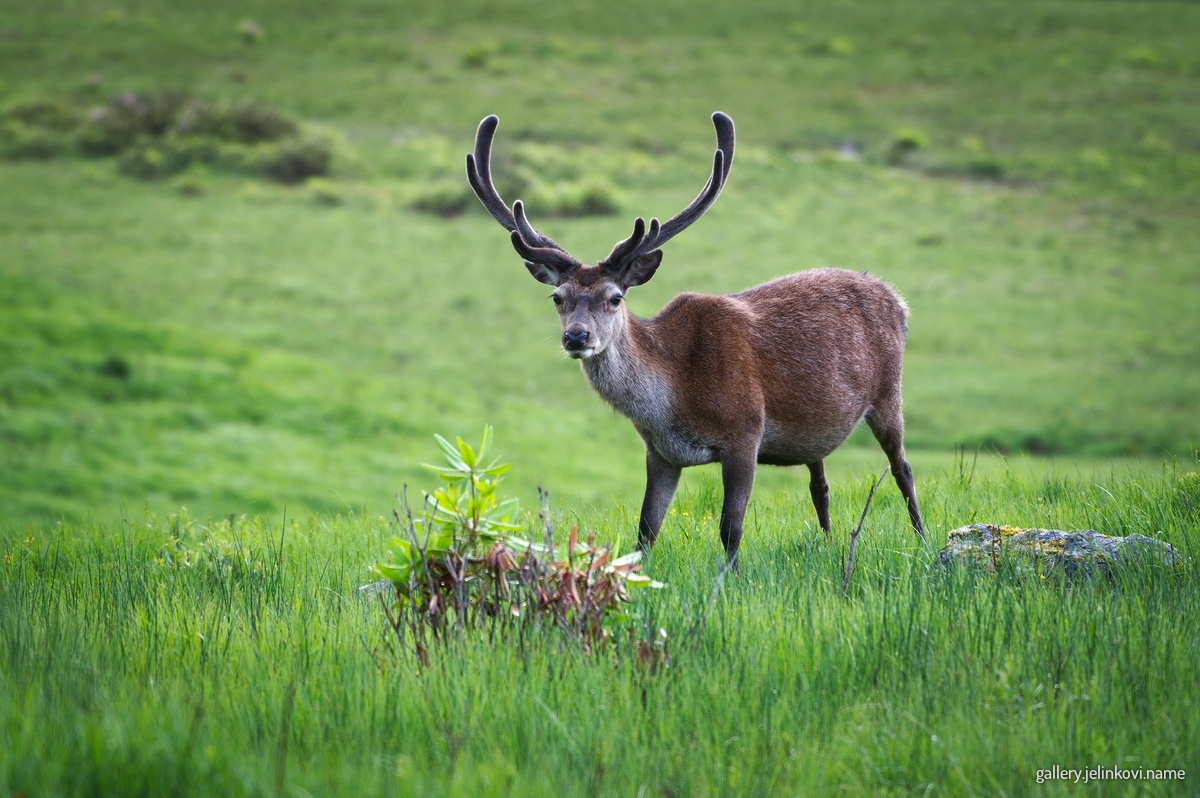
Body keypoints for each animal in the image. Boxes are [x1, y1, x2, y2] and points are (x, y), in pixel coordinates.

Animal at [465, 111, 924, 566]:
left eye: (615, 298)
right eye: (557, 297)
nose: (576, 337)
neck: (676, 395)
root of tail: (898, 299)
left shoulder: (744, 433)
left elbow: (730, 528)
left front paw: (730, 579)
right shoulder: (660, 452)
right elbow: (645, 529)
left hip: (889, 390)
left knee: (903, 467)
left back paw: (920, 539)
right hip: (818, 431)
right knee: (820, 483)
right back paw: (830, 543)